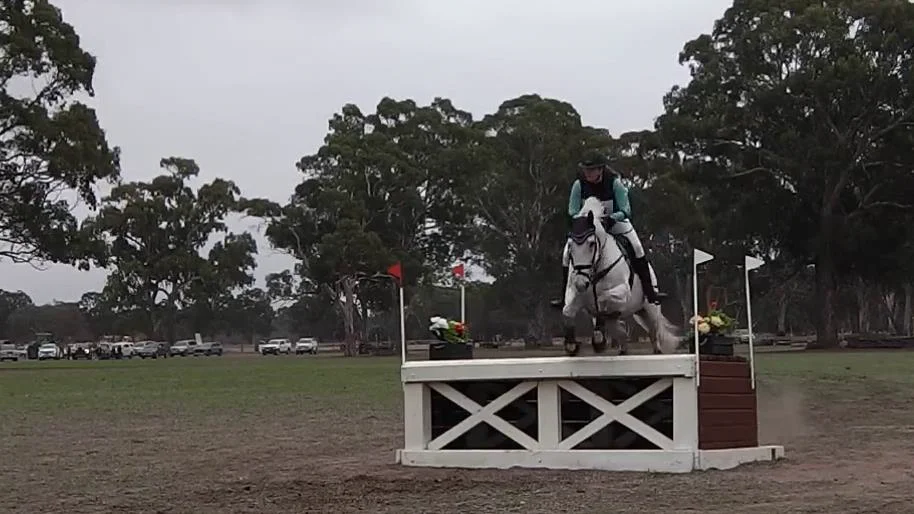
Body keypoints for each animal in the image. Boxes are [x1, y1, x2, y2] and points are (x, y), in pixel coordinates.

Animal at [560, 196, 680, 356]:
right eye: (570, 246)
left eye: (591, 244)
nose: (580, 283)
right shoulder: (575, 294)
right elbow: (567, 311)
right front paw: (571, 344)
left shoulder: (622, 293)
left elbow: (603, 301)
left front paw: (598, 336)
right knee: (621, 334)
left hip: (650, 311)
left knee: (654, 335)